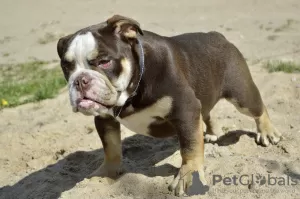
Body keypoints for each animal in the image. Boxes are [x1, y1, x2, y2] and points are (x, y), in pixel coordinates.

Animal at [56, 15, 282, 196]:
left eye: (104, 62)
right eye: (67, 67)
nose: (80, 80)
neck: (133, 89)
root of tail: (218, 36)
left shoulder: (185, 108)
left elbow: (190, 146)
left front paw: (189, 175)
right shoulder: (104, 119)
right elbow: (110, 147)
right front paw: (105, 173)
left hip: (241, 96)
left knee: (258, 108)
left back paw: (268, 132)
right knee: (207, 112)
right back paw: (211, 133)